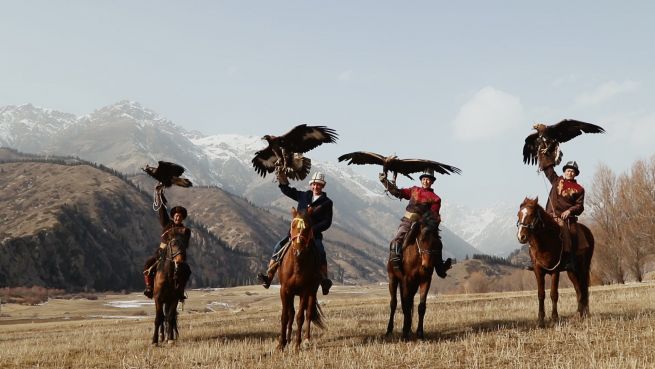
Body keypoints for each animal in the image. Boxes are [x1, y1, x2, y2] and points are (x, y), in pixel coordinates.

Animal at [276, 206, 326, 350]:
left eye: (308, 226)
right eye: (292, 225)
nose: (298, 251)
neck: (297, 264)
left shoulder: (305, 291)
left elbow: (300, 317)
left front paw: (297, 345)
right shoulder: (284, 290)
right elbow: (285, 316)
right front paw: (281, 344)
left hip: (312, 292)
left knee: (308, 314)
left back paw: (306, 340)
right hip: (292, 293)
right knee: (291, 314)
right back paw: (288, 339)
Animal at [516, 197, 596, 326]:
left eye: (532, 214)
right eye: (519, 214)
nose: (521, 237)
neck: (545, 242)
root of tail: (587, 231)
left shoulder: (555, 271)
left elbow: (554, 294)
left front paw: (554, 318)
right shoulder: (538, 271)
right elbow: (541, 294)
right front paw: (540, 320)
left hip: (583, 268)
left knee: (584, 288)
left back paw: (584, 314)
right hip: (572, 272)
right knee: (578, 289)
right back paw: (579, 313)